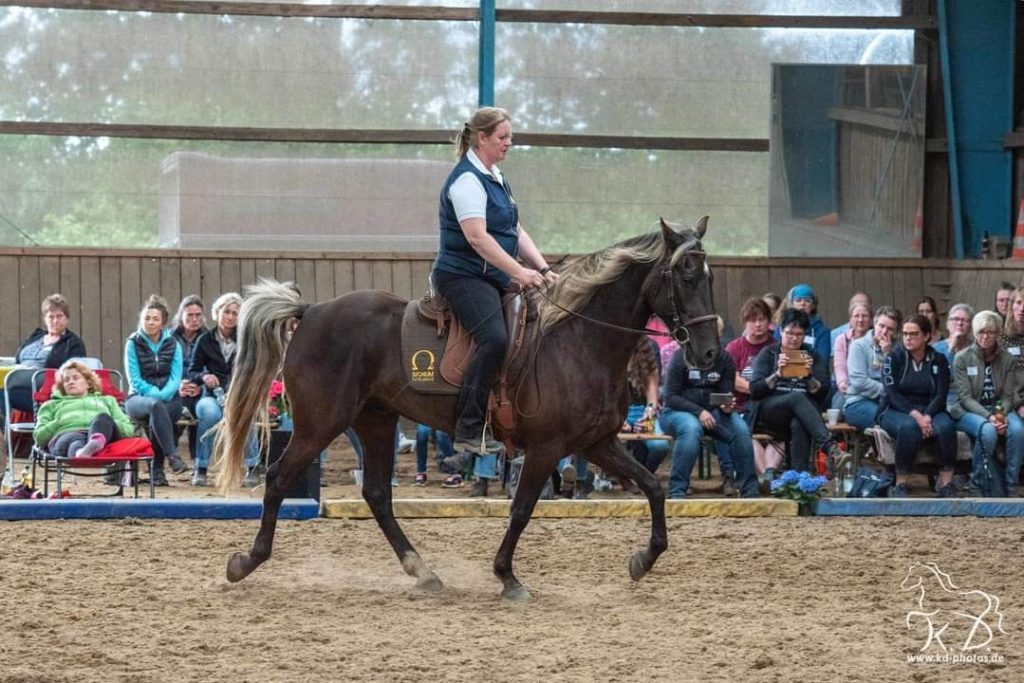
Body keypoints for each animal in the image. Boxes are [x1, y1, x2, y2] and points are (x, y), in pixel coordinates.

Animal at [214, 216, 720, 602]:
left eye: (710, 278)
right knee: (279, 477)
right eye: (686, 277)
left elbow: (653, 487)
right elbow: (522, 509)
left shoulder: (596, 443)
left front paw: (643, 559)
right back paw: (245, 562)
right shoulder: (547, 447)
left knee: (376, 493)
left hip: (376, 419)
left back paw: (422, 572)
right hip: (321, 424)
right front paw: (507, 577)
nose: (710, 354)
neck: (579, 340)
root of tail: (312, 311)